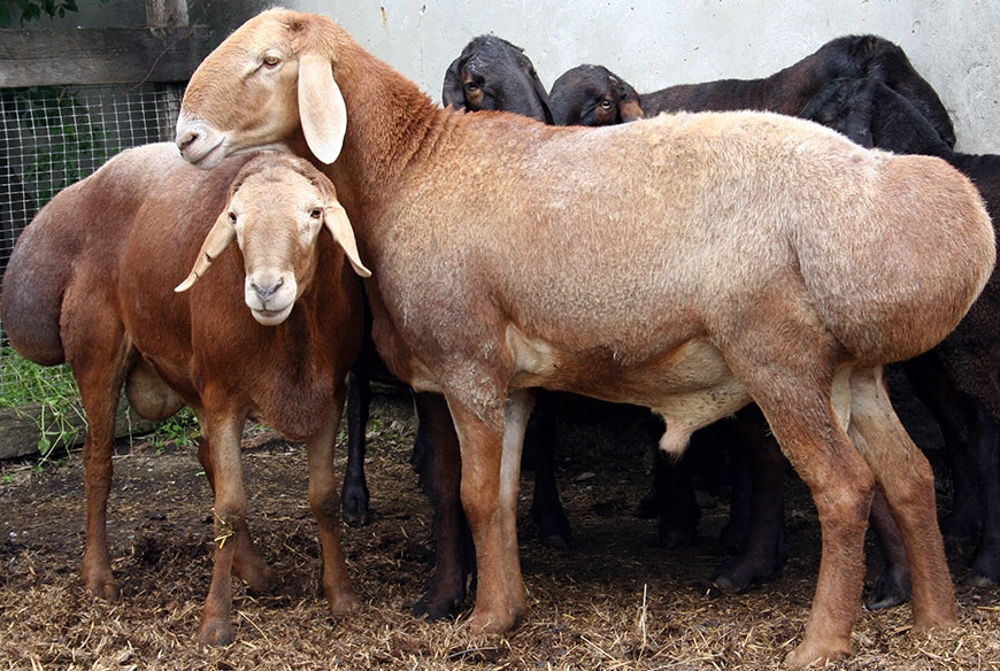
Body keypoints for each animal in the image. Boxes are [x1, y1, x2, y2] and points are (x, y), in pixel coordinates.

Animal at [172, 10, 992, 668]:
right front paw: (504, 613)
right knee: (911, 475)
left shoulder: (467, 362)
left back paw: (822, 643)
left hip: (781, 361)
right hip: (852, 368)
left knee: (846, 489)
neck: (411, 168)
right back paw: (937, 621)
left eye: (269, 62)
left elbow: (471, 491)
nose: (184, 138)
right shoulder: (509, 381)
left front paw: (478, 622)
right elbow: (496, 498)